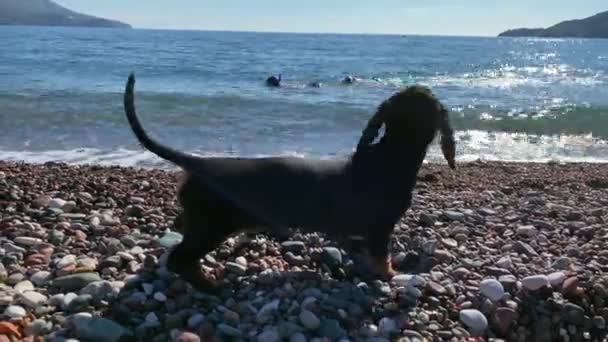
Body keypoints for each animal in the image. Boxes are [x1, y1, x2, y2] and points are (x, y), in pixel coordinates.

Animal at [122, 74, 456, 292]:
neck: (391, 154)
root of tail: (197, 163)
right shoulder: (381, 228)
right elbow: (381, 257)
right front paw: (388, 274)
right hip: (212, 226)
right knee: (180, 259)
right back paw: (211, 286)